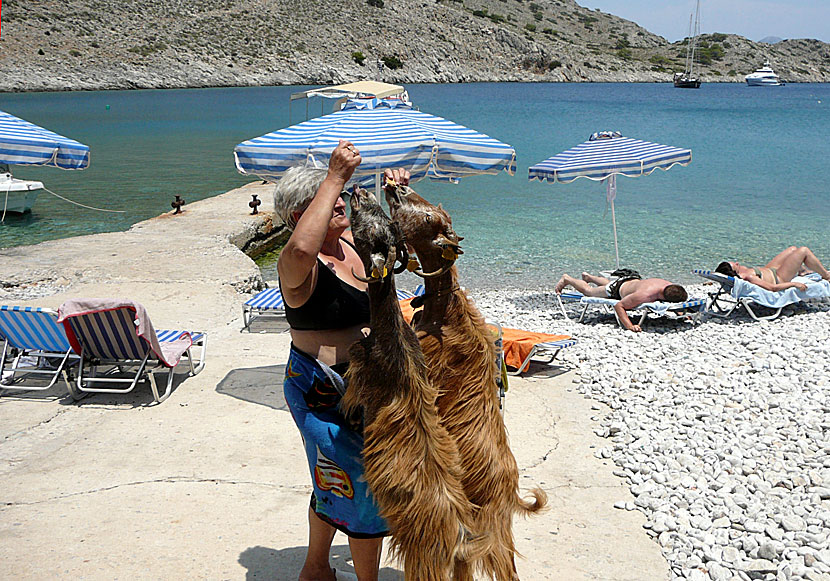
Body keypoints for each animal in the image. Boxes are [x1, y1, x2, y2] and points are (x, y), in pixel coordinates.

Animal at [342, 188, 478, 576]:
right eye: (384, 221)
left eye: (368, 229)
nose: (359, 190)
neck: (392, 340)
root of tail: (459, 537)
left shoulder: (360, 372)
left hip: (423, 557)